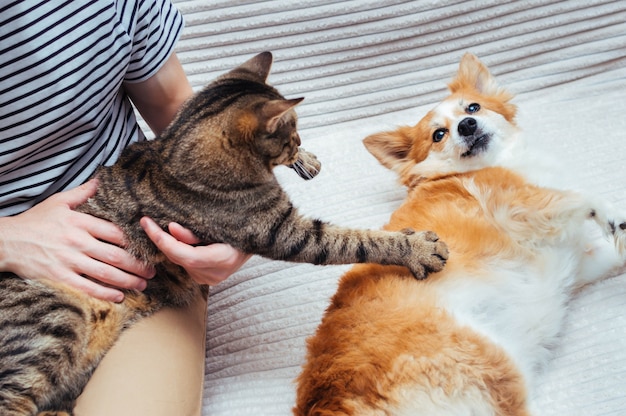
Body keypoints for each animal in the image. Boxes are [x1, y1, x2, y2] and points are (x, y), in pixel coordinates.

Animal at [0, 52, 446, 416]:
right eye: (292, 130)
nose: (299, 140)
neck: (173, 156)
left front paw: (306, 159)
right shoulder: (282, 229)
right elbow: (353, 240)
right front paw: (416, 248)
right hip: (57, 320)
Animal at [294, 52, 624, 416]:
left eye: (473, 108)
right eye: (439, 134)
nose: (466, 126)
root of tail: (331, 404)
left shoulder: (576, 263)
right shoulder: (521, 206)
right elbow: (581, 197)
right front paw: (612, 214)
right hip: (490, 363)